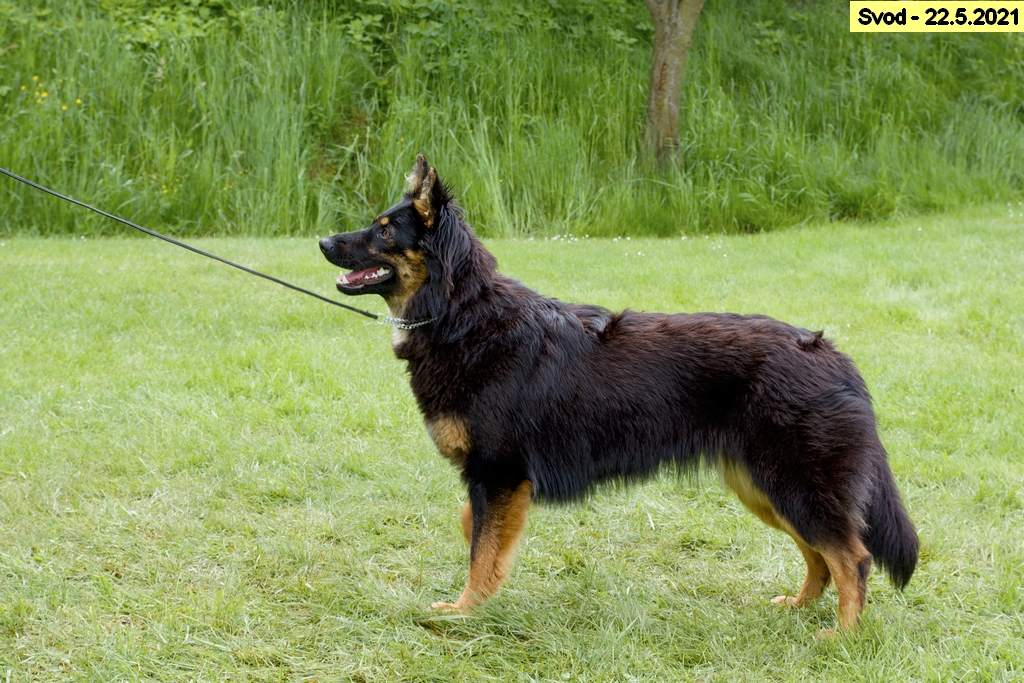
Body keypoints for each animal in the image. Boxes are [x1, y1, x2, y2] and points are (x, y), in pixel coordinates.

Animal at [318, 154, 918, 633]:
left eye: (383, 232)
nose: (322, 242)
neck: (462, 317)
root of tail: (833, 355)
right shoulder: (496, 483)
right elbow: (476, 531)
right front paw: (479, 598)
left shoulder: (498, 473)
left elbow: (481, 551)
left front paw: (466, 611)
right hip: (765, 489)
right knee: (821, 556)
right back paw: (799, 607)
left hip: (793, 485)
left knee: (852, 557)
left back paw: (841, 635)